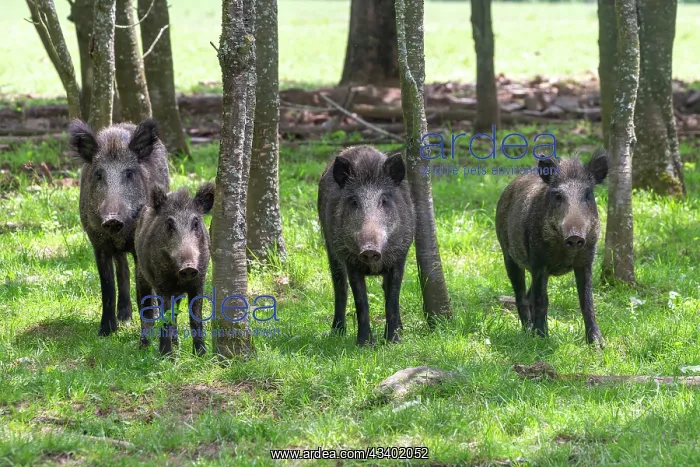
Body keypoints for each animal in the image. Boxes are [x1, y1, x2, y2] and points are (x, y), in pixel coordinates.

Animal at [70, 119, 169, 338]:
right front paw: (105, 332)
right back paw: (124, 317)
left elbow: (143, 289)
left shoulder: (137, 245)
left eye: (129, 173)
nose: (112, 219)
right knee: (123, 270)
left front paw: (147, 333)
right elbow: (107, 287)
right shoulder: (98, 244)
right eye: (99, 174)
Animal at [134, 182, 215, 356]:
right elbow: (165, 319)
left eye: (196, 223)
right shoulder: (162, 285)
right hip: (141, 274)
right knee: (145, 309)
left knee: (175, 312)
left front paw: (201, 355)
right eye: (170, 224)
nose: (189, 267)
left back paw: (176, 343)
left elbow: (195, 319)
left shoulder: (199, 282)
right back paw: (143, 348)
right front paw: (166, 356)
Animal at [317, 145, 415, 346]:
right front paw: (364, 344)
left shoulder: (399, 258)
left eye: (384, 200)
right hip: (331, 249)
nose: (369, 249)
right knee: (340, 288)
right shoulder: (350, 262)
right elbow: (361, 302)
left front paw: (393, 341)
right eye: (354, 201)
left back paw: (400, 329)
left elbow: (392, 299)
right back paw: (337, 332)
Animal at [495, 150, 609, 345]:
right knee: (521, 295)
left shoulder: (586, 260)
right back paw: (527, 332)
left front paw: (597, 344)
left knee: (528, 294)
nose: (575, 236)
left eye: (588, 194)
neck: (565, 253)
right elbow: (542, 299)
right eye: (558, 196)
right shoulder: (538, 261)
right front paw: (542, 338)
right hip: (508, 254)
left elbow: (587, 300)